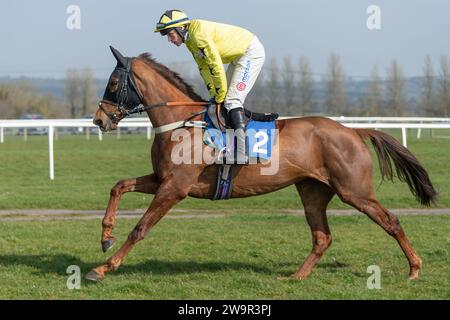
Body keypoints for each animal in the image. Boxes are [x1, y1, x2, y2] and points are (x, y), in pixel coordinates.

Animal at [87, 47, 436, 280]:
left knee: (391, 221)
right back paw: (297, 276)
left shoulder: (176, 187)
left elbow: (140, 228)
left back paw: (415, 268)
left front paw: (103, 268)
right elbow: (118, 186)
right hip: (313, 191)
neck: (182, 124)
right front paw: (105, 237)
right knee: (322, 237)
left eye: (114, 83)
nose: (99, 119)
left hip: (355, 190)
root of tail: (353, 130)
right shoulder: (163, 179)